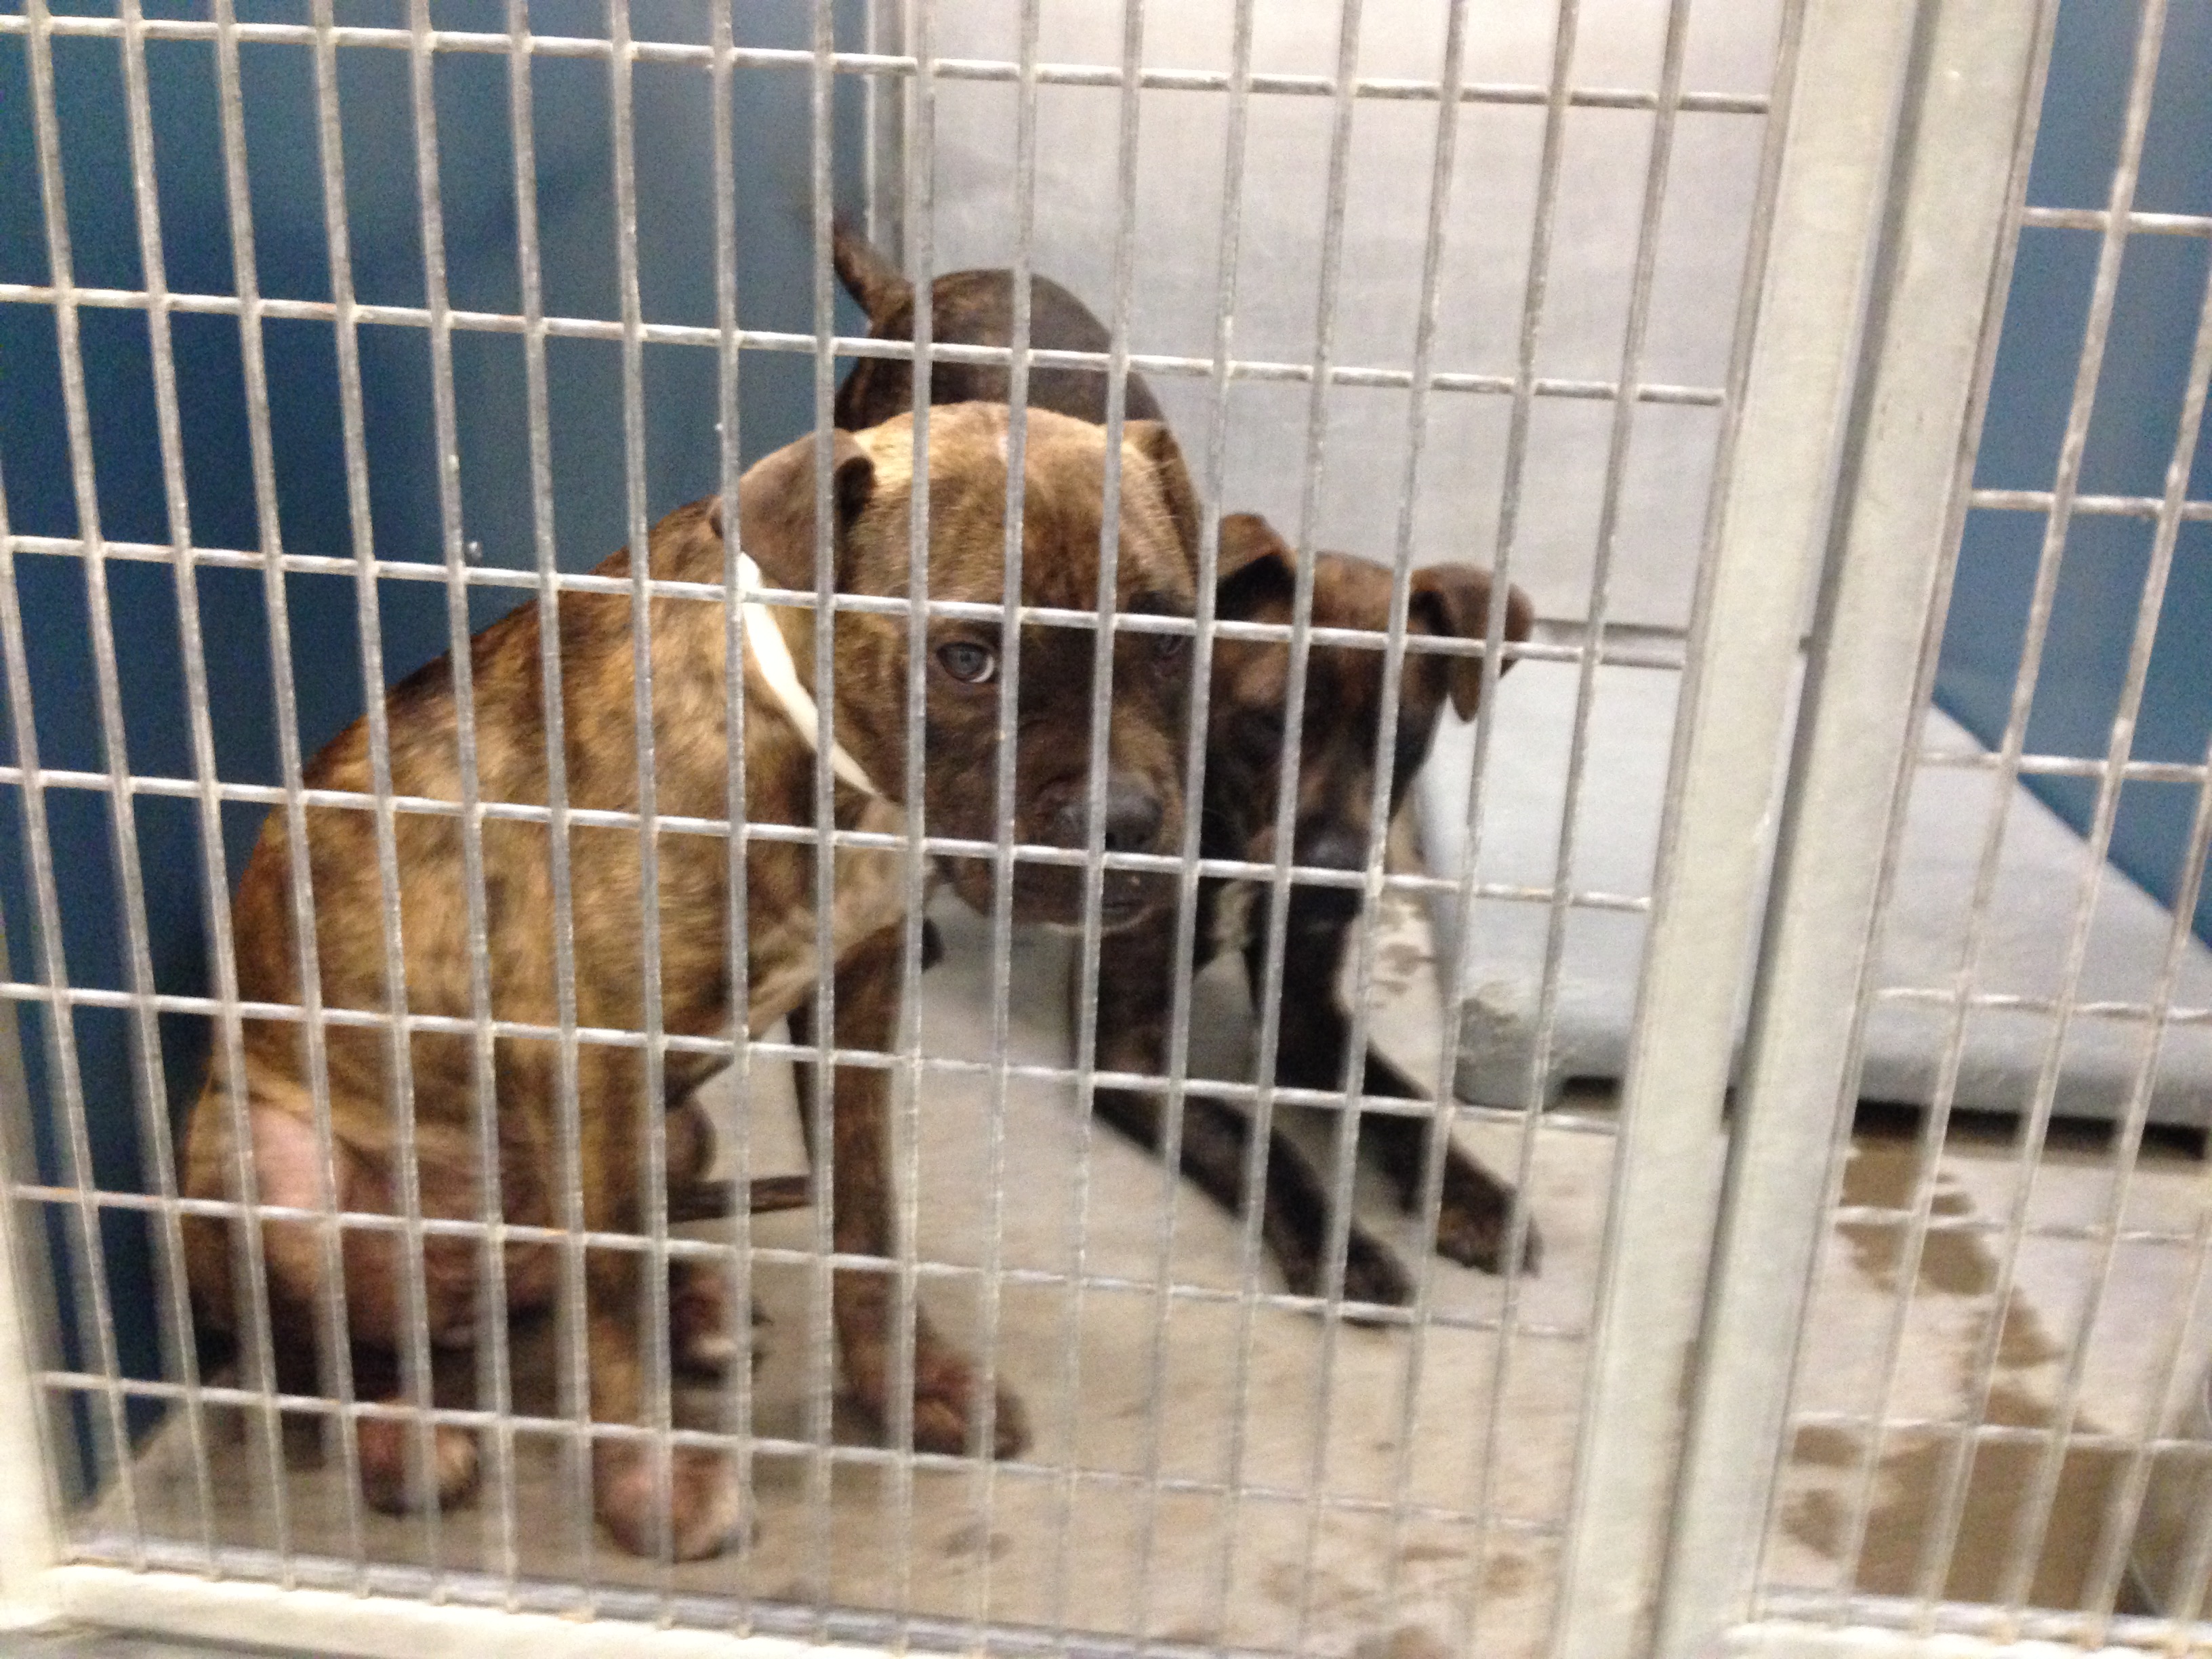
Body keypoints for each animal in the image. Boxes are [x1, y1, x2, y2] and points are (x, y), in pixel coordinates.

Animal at [180, 402, 1201, 1560]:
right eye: (968, 658)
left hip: (675, 1131)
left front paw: (907, 1385)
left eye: (1171, 640)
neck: (811, 754)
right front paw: (655, 1485)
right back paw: (401, 1434)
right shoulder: (597, 1053)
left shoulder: (856, 1000)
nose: (1124, 828)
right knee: (320, 1351)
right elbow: (612, 1292)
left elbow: (865, 1220)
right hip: (274, 1164)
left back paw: (694, 1309)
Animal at [829, 226, 1539, 1305]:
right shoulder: (1128, 1045)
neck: (1229, 833)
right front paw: (1341, 1244)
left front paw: (1475, 1194)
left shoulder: (1309, 1006)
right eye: (1264, 723)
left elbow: (1397, 1097)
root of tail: (918, 284)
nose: (1333, 877)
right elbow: (1256, 1140)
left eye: (1403, 734)